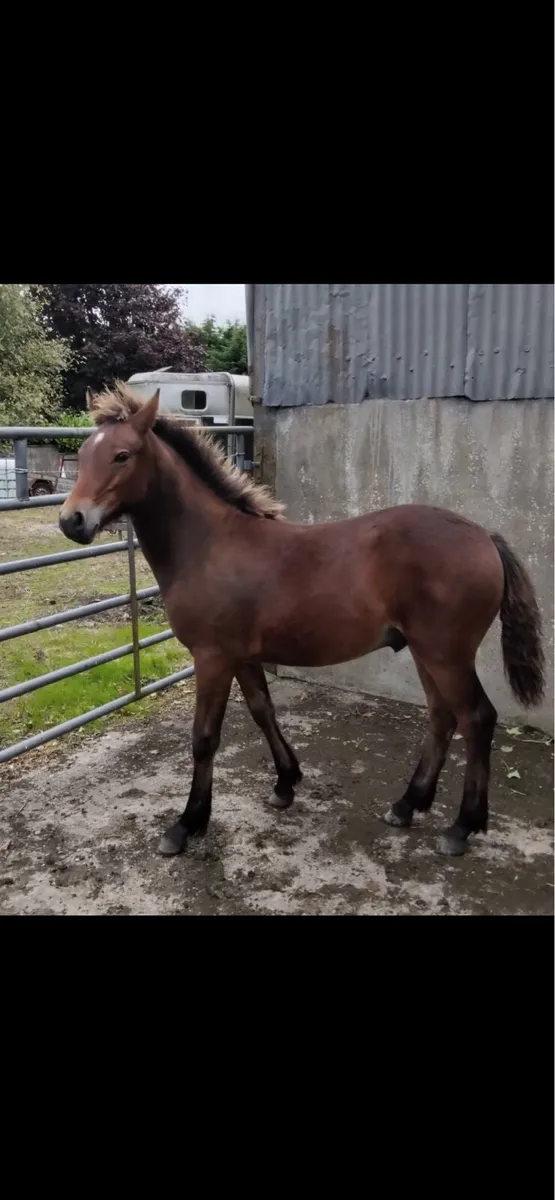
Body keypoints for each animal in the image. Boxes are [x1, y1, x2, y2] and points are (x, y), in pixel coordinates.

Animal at [58, 384, 545, 860]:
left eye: (123, 455)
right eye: (82, 454)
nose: (71, 521)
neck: (208, 544)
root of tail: (485, 537)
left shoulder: (212, 657)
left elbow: (204, 738)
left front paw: (186, 824)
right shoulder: (242, 656)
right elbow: (262, 710)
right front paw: (285, 783)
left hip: (446, 654)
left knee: (477, 718)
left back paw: (462, 827)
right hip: (427, 653)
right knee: (443, 718)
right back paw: (408, 805)